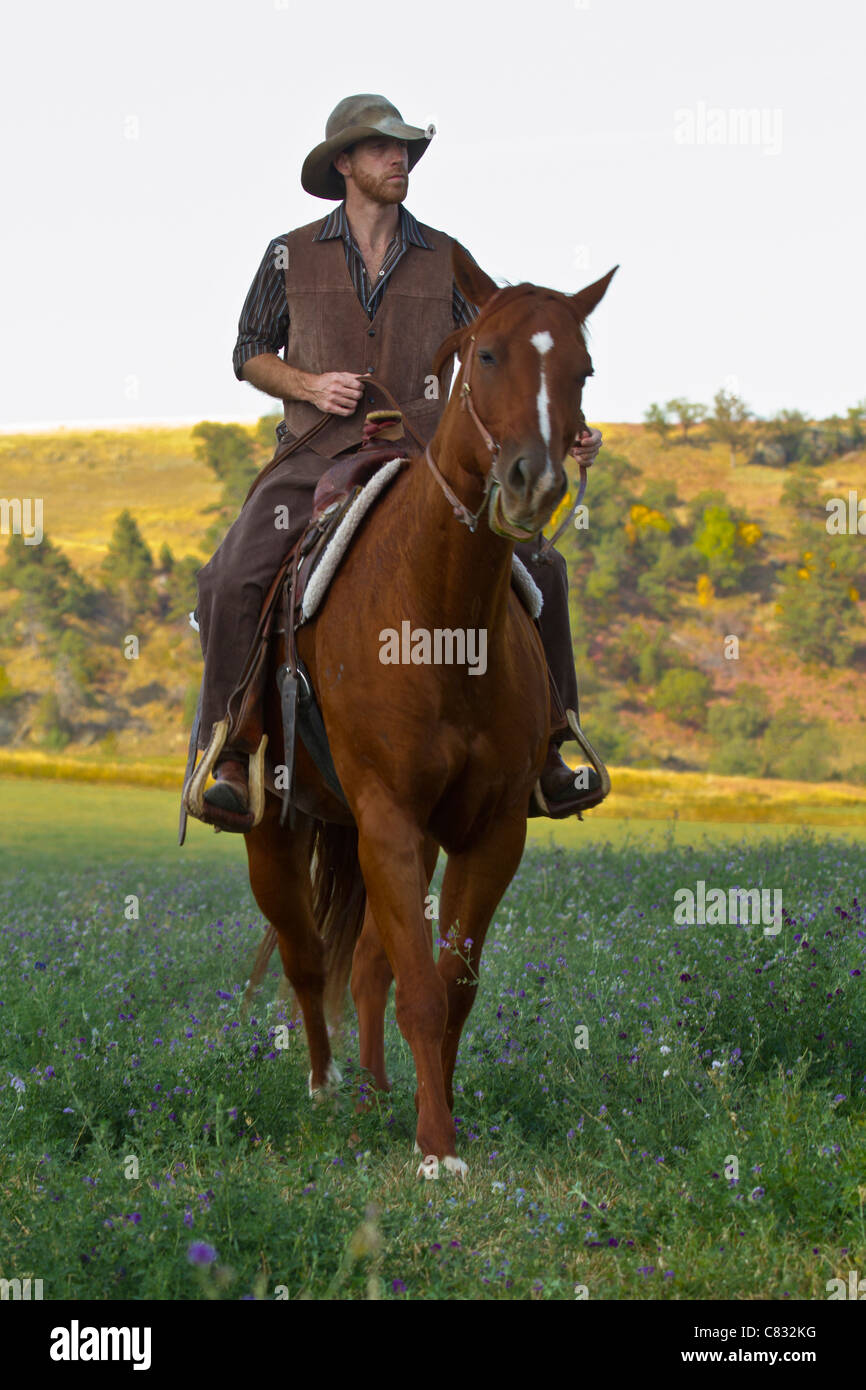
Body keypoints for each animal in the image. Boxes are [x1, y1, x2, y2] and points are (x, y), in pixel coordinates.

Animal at [242, 244, 617, 1177]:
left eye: (583, 370)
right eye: (486, 355)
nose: (533, 481)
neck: (440, 616)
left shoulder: (490, 829)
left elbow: (452, 986)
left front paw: (437, 1119)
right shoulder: (387, 817)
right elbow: (416, 985)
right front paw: (437, 1150)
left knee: (365, 962)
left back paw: (377, 1095)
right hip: (276, 829)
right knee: (308, 958)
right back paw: (327, 1089)